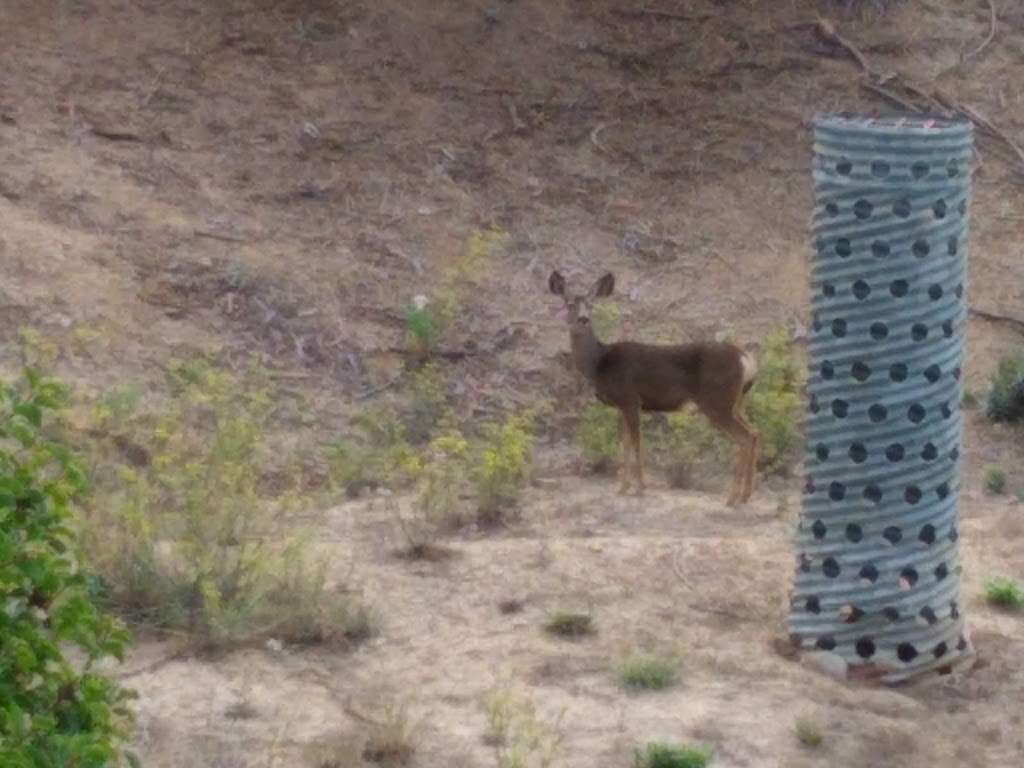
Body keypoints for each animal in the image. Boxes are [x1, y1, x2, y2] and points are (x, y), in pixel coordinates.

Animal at [552, 268, 761, 505]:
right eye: (569, 303)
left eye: (591, 304)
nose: (583, 319)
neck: (598, 363)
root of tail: (746, 360)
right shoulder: (622, 405)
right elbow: (625, 443)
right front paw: (623, 488)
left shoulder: (631, 399)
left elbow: (636, 441)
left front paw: (640, 488)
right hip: (735, 403)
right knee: (754, 433)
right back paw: (744, 495)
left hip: (717, 402)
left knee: (744, 438)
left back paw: (732, 498)